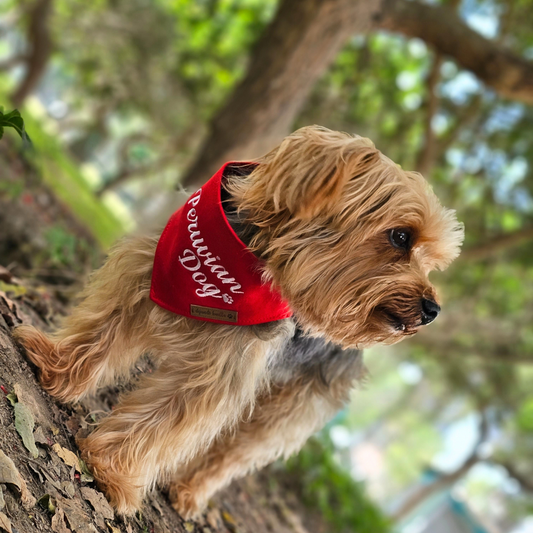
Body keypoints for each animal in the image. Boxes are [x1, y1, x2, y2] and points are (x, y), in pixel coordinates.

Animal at [14, 124, 464, 516]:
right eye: (402, 237)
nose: (432, 310)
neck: (243, 261)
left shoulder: (219, 374)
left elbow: (158, 423)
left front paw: (112, 472)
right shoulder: (141, 279)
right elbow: (99, 335)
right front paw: (56, 370)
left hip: (288, 409)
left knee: (232, 454)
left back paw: (189, 492)